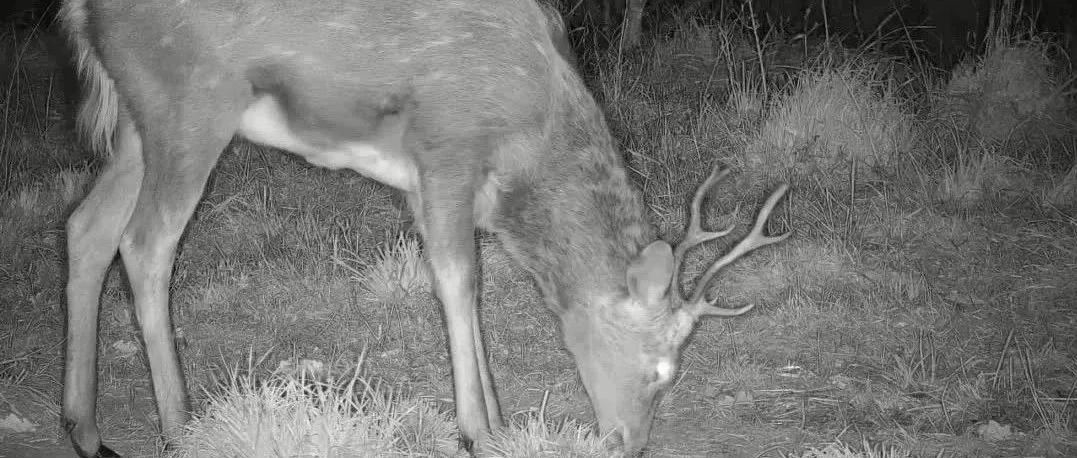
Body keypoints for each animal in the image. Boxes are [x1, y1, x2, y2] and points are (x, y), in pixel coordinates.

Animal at [56, 0, 784, 452]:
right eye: (662, 370)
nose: (630, 443)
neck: (530, 132)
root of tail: (82, 10)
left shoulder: (425, 178)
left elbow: (471, 285)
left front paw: (498, 418)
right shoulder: (447, 146)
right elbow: (459, 279)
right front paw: (477, 431)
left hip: (138, 121)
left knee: (87, 227)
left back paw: (85, 428)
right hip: (191, 102)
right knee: (146, 243)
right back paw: (179, 428)